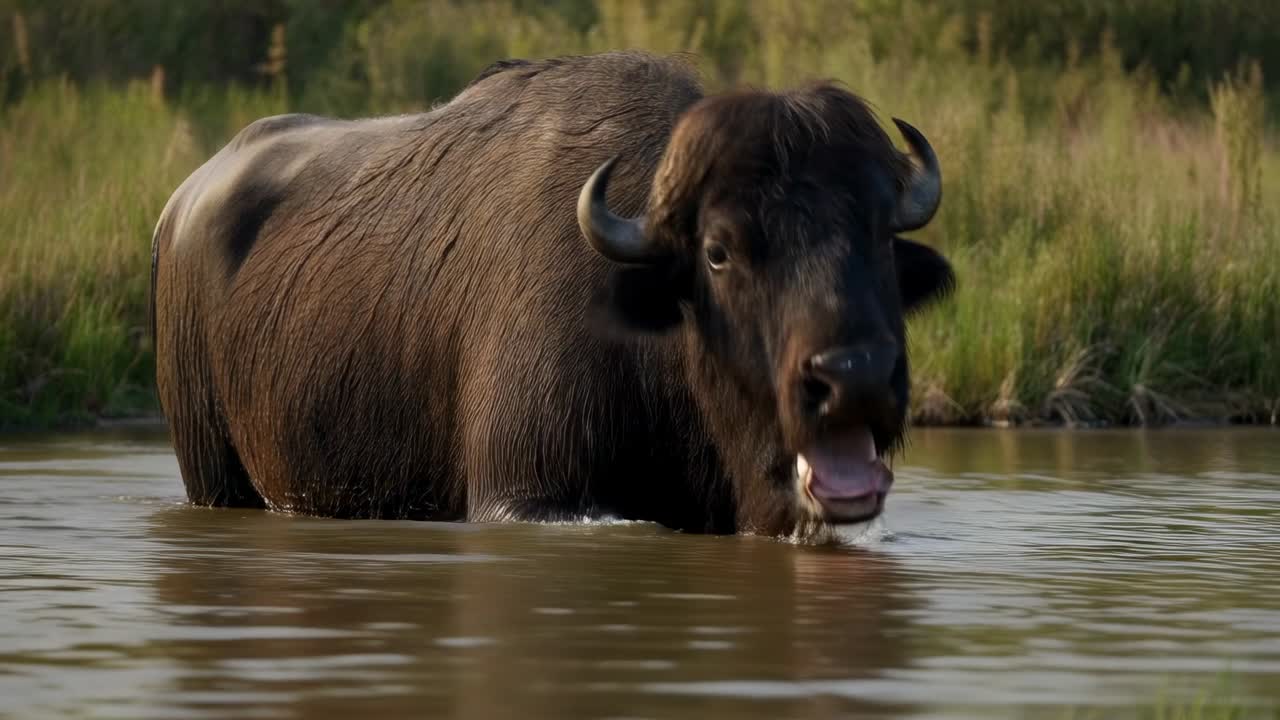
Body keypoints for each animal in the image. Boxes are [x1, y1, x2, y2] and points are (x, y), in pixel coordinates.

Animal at [150, 51, 954, 539]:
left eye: (878, 233)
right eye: (719, 251)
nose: (855, 377)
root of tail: (180, 206)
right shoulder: (531, 494)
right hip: (212, 474)